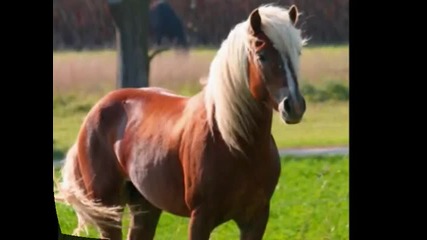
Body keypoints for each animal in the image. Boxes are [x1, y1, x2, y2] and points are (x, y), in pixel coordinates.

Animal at [54, 4, 308, 240]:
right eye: (262, 56)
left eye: (297, 52)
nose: (294, 106)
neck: (235, 143)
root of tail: (95, 111)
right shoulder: (201, 218)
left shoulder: (256, 218)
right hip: (109, 209)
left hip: (145, 207)